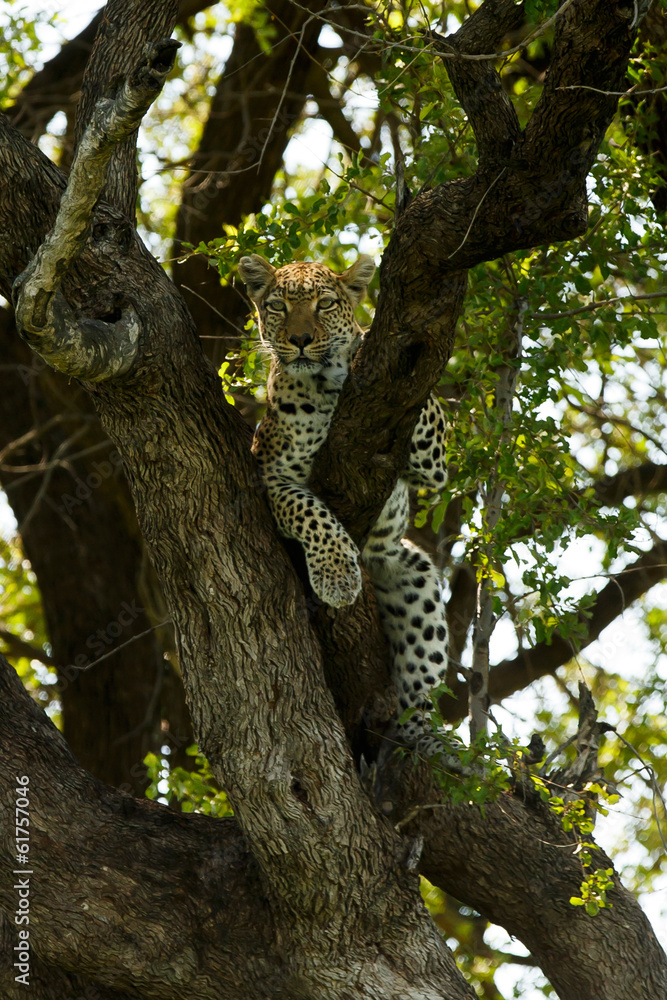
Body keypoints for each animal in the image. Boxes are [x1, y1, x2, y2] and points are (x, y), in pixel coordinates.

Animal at [238, 252, 450, 753]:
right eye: (277, 306)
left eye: (326, 303)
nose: (299, 340)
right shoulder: (271, 476)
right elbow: (313, 514)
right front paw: (336, 578)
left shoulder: (432, 466)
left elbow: (424, 403)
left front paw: (359, 344)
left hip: (413, 572)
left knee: (420, 680)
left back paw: (425, 739)